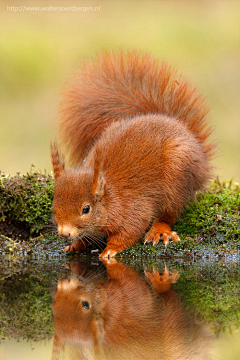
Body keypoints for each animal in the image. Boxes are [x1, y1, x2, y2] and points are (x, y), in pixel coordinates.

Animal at [50, 51, 214, 258]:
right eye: (53, 203)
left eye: (86, 209)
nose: (64, 233)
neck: (110, 198)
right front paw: (75, 245)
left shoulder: (133, 210)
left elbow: (130, 231)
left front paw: (110, 250)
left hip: (176, 177)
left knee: (170, 213)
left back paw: (159, 230)